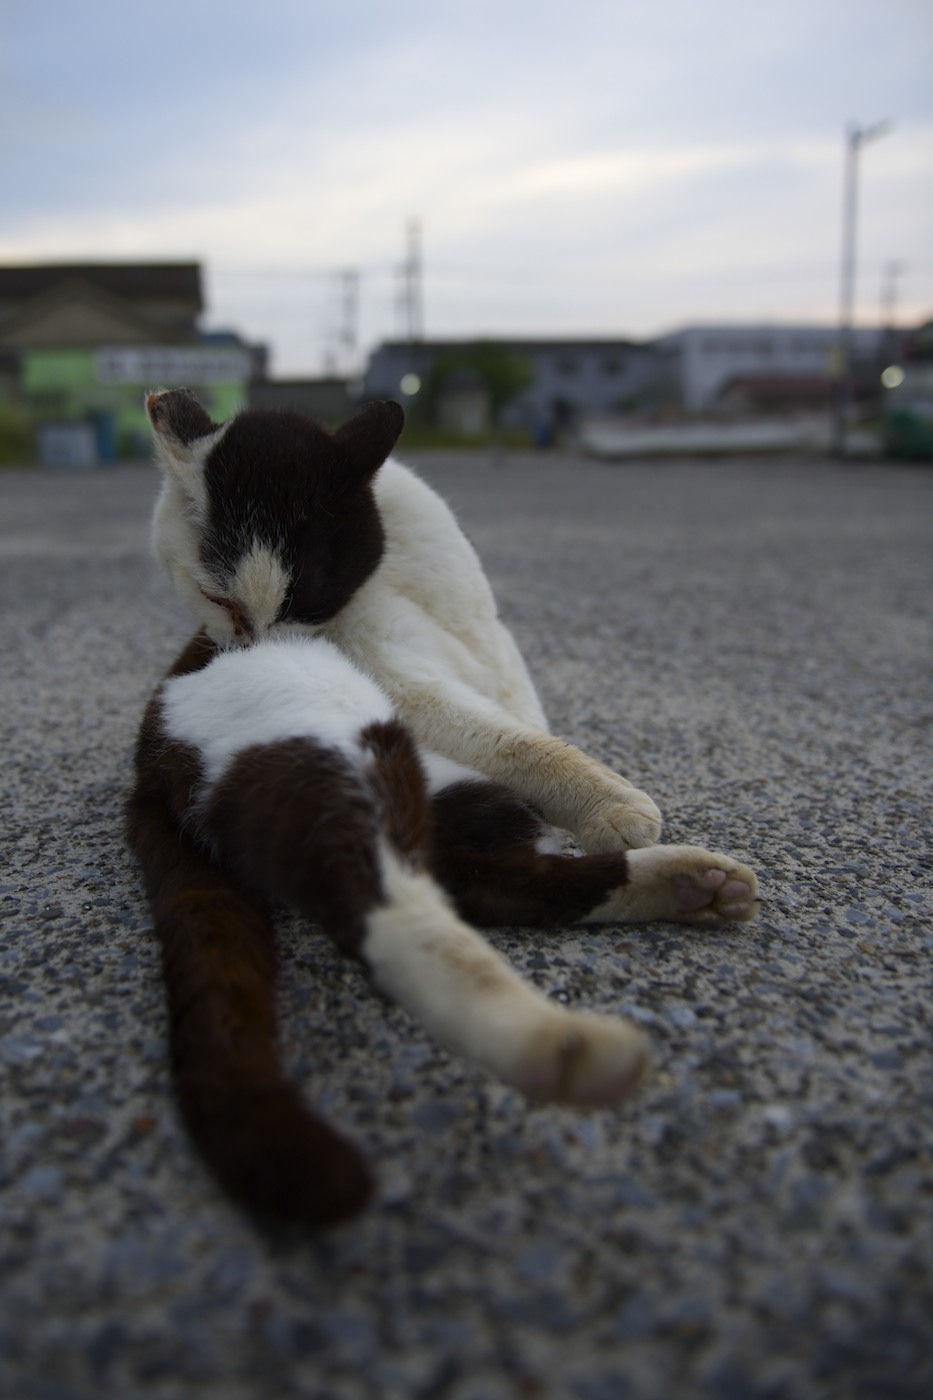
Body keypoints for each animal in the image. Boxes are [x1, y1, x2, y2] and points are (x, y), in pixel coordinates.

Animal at [128, 389, 756, 1220]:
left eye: (301, 592)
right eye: (219, 598)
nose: (257, 644)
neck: (393, 572)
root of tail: (146, 765)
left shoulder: (493, 652)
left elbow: (525, 719)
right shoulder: (411, 685)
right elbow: (520, 743)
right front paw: (610, 801)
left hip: (441, 810)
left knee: (502, 886)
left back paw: (694, 886)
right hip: (345, 758)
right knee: (391, 913)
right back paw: (573, 1053)